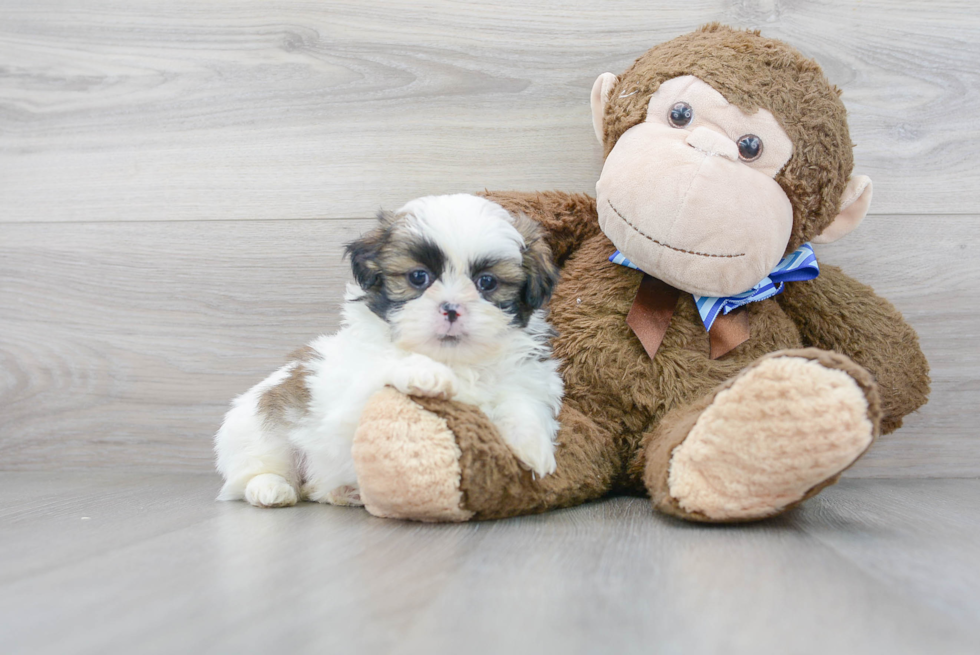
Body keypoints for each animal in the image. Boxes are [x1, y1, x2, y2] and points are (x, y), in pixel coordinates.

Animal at [214, 192, 568, 510]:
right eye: (418, 277)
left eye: (487, 282)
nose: (451, 308)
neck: (452, 359)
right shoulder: (346, 402)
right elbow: (382, 368)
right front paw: (426, 372)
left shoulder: (524, 377)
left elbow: (522, 402)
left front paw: (533, 448)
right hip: (258, 433)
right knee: (255, 471)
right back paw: (271, 489)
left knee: (315, 488)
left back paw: (343, 492)